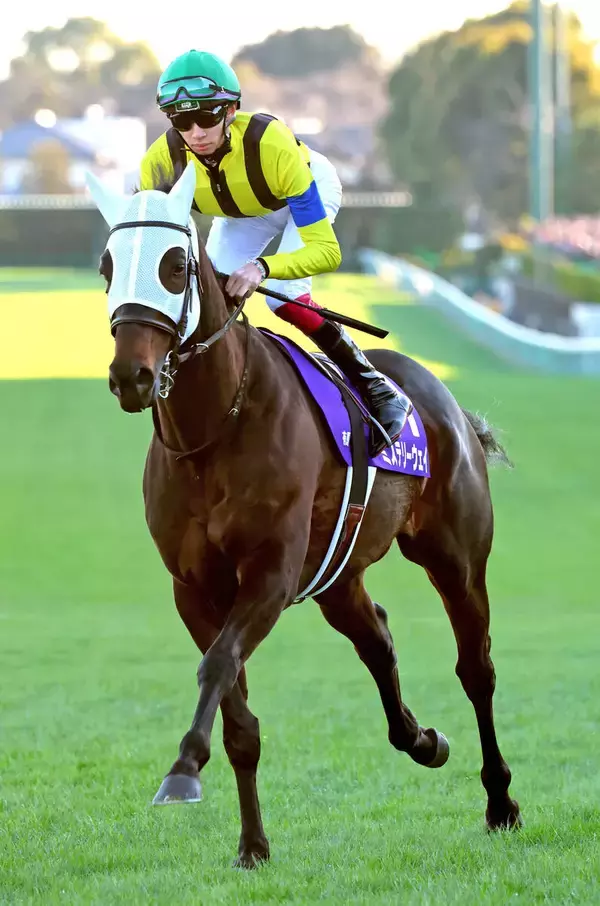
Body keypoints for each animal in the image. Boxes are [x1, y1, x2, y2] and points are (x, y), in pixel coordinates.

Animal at [86, 162, 521, 868]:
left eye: (176, 265)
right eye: (106, 265)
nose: (132, 376)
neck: (215, 429)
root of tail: (446, 401)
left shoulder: (269, 573)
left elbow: (218, 667)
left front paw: (182, 770)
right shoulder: (194, 587)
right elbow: (238, 716)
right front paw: (252, 845)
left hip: (454, 556)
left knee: (475, 667)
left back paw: (501, 801)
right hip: (338, 576)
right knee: (377, 636)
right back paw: (422, 740)